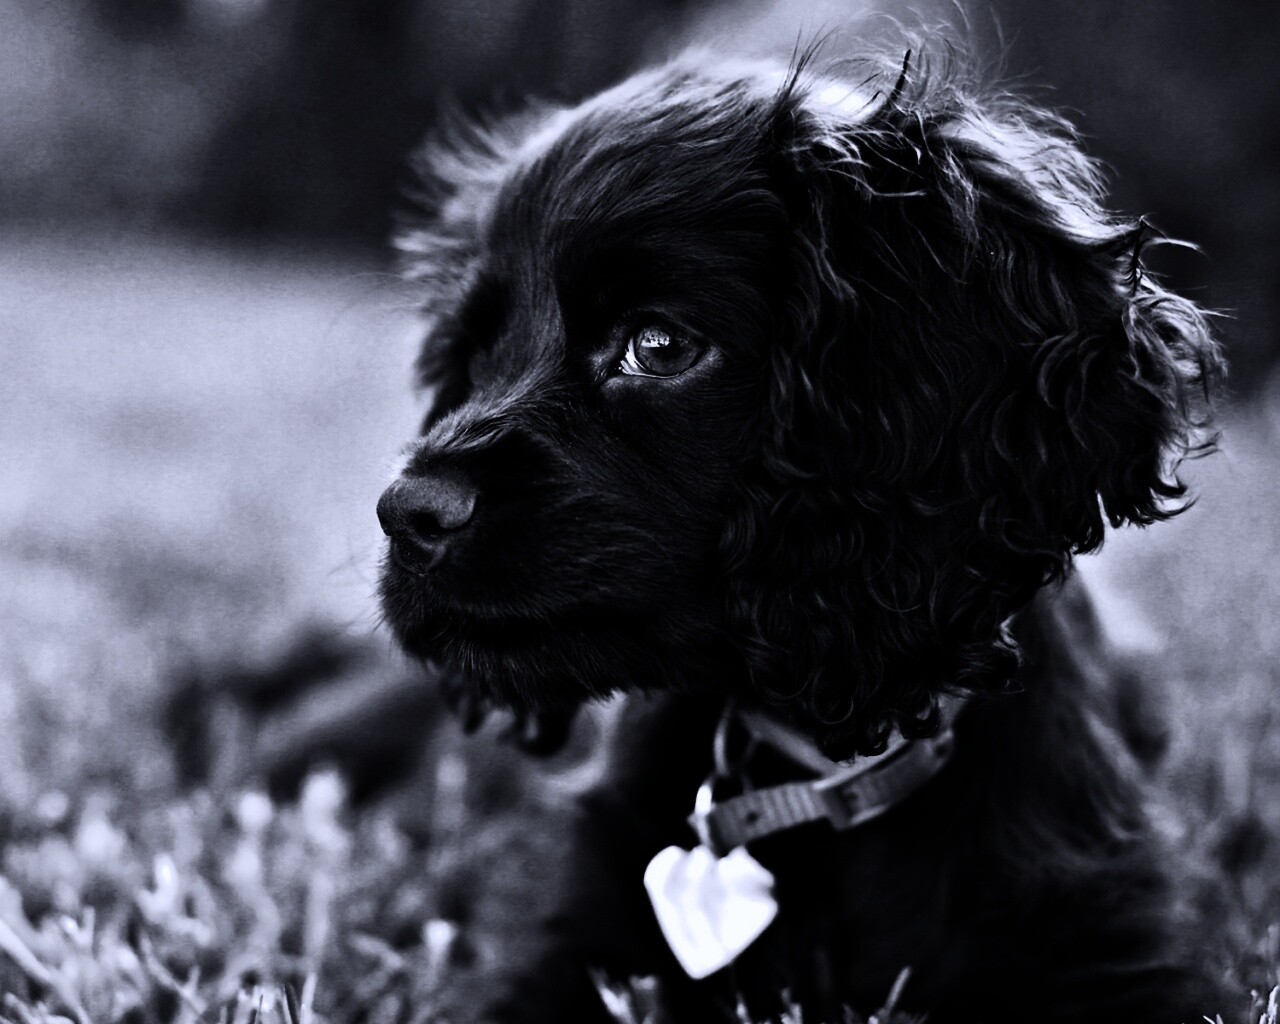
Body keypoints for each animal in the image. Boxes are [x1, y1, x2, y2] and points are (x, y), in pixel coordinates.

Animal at [376, 47, 1225, 1024]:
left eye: (657, 346)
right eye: (478, 354)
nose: (407, 513)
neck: (821, 771)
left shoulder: (1101, 942)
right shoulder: (579, 950)